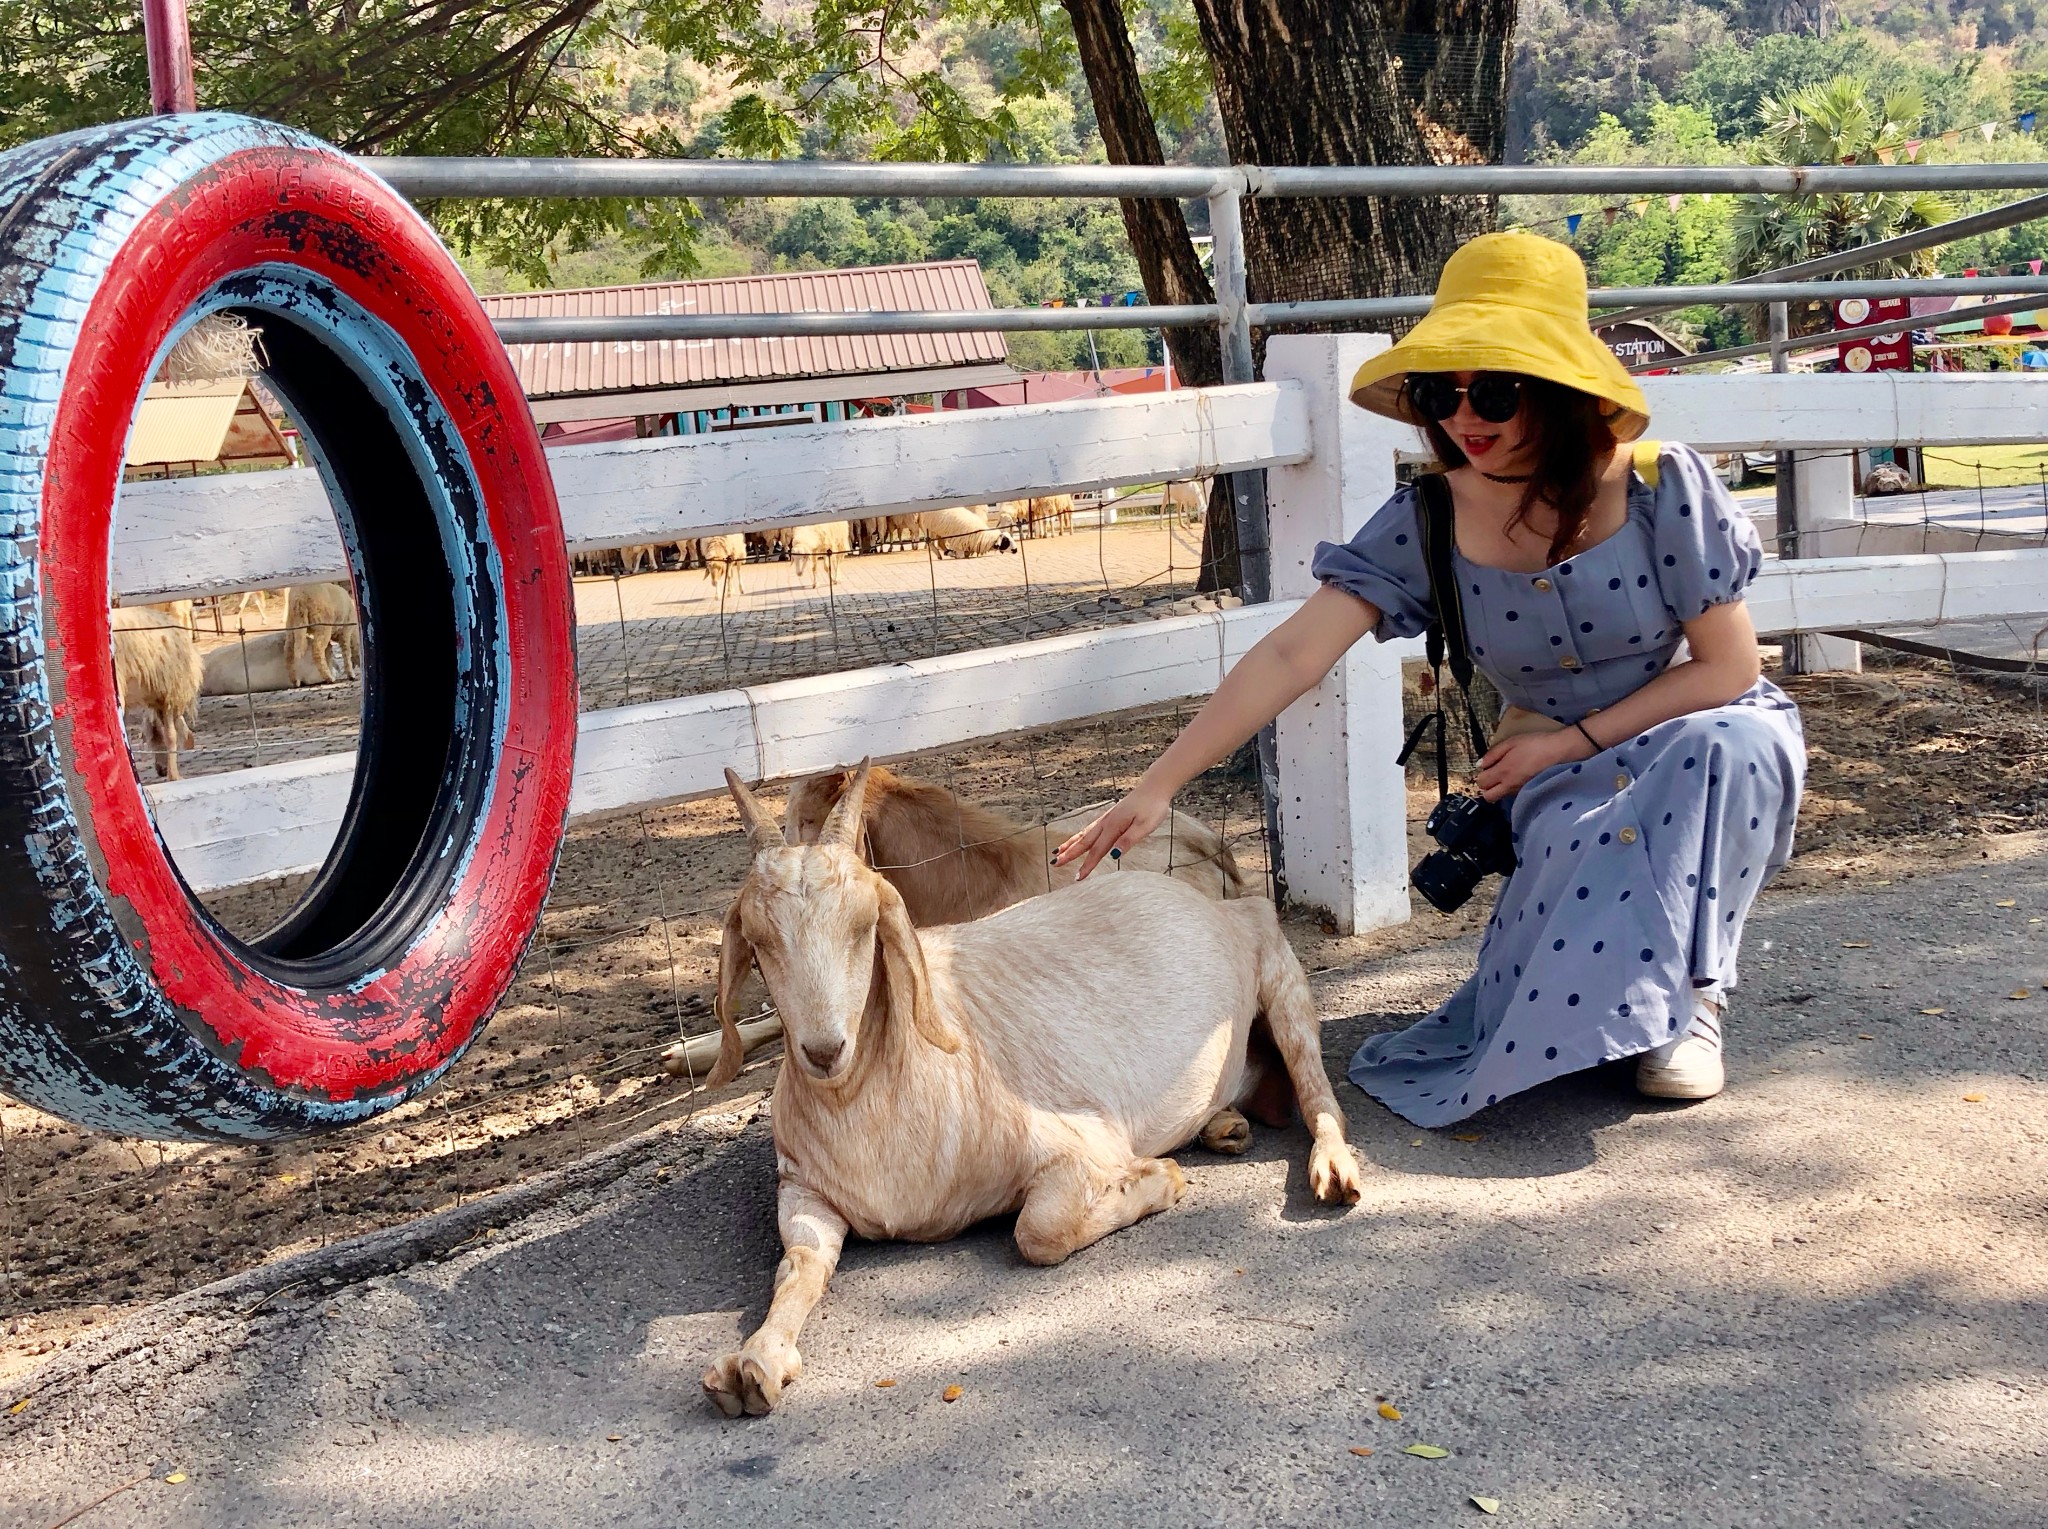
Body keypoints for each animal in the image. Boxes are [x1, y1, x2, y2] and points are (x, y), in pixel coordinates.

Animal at [700, 765, 1359, 1424]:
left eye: (865, 925)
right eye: (757, 940)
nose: (824, 1050)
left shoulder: (1080, 1144)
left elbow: (1039, 1233)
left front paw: (1159, 1179)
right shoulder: (804, 1190)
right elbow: (800, 1264)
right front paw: (755, 1363)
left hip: (1277, 965)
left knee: (1315, 1088)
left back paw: (1333, 1168)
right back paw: (1225, 1126)